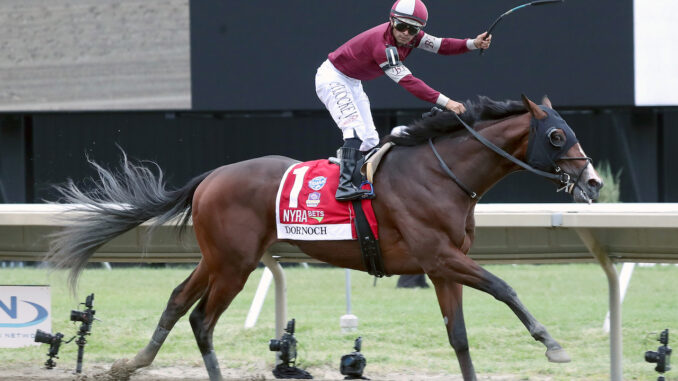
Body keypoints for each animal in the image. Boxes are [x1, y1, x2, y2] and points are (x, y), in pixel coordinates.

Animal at [45, 93, 604, 380]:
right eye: (557, 134)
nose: (594, 180)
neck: (441, 173)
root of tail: (210, 177)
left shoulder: (443, 266)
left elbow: (460, 337)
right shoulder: (440, 257)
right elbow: (505, 287)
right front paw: (553, 344)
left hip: (220, 257)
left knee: (179, 300)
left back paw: (131, 362)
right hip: (234, 263)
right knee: (202, 317)